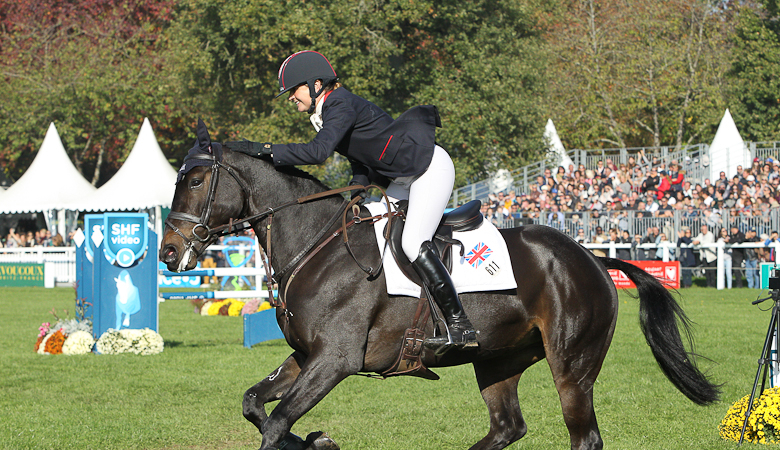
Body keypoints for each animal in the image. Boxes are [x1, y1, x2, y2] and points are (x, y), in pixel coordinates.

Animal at [158, 123, 720, 450]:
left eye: (194, 181)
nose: (167, 253)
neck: (317, 244)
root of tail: (594, 259)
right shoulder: (306, 356)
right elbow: (255, 405)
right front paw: (319, 439)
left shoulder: (335, 361)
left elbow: (275, 424)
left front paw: (316, 438)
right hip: (498, 359)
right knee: (506, 427)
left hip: (572, 368)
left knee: (583, 437)